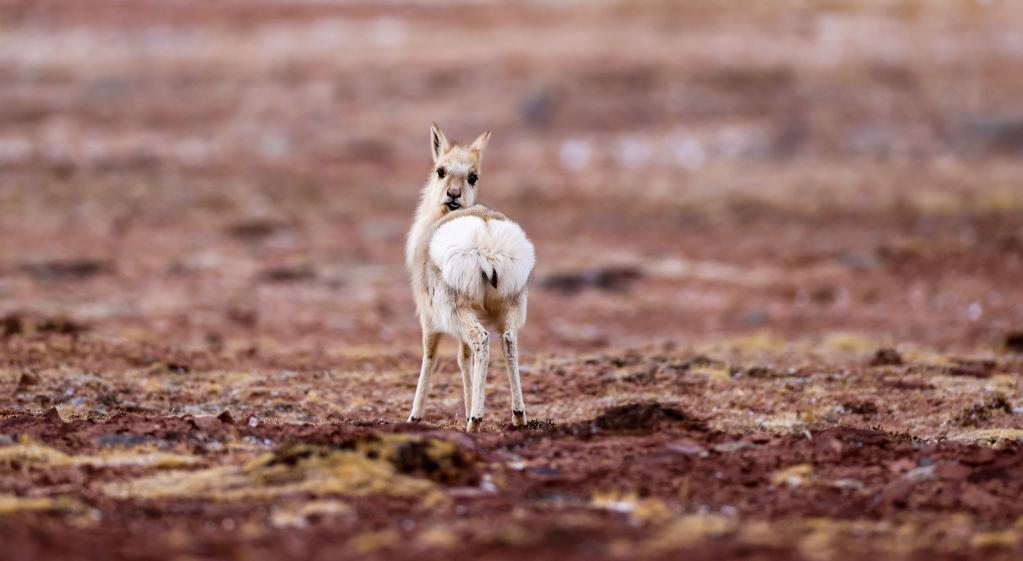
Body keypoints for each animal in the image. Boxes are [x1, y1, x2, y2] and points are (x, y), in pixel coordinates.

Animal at [405, 123, 540, 429]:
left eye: (472, 176)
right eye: (440, 170)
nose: (453, 195)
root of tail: (486, 233)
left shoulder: (429, 320)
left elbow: (430, 357)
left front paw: (414, 416)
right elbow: (462, 357)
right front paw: (466, 407)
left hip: (458, 311)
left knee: (482, 341)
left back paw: (476, 420)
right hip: (508, 307)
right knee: (508, 342)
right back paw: (518, 416)